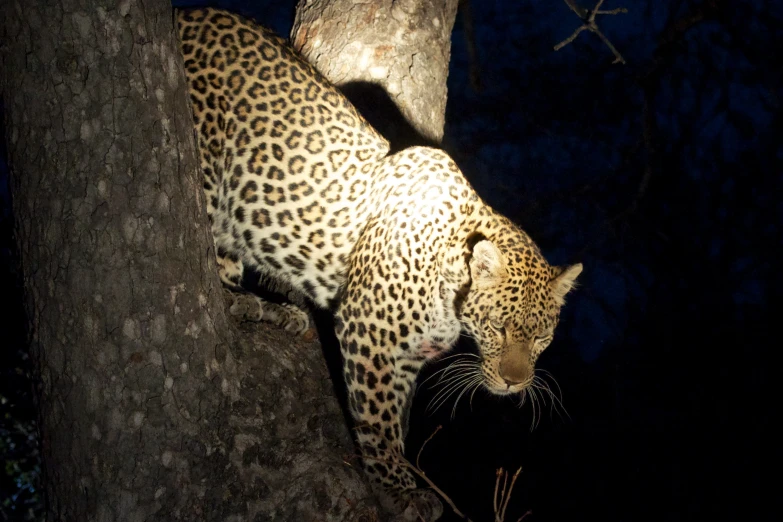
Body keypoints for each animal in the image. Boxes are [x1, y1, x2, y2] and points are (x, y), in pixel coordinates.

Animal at [176, 7, 580, 516]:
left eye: (543, 337)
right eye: (500, 328)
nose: (514, 385)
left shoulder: (408, 356)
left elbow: (399, 418)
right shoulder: (370, 332)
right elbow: (378, 417)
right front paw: (397, 488)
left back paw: (271, 310)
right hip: (211, 172)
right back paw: (247, 304)